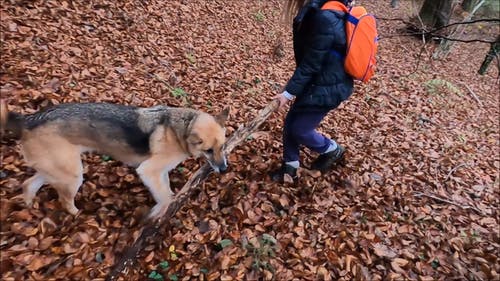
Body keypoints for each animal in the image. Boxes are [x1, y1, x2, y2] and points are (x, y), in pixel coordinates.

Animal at [0, 101, 229, 218]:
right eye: (209, 150)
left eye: (223, 146)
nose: (224, 169)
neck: (181, 130)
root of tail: (27, 121)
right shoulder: (149, 170)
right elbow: (165, 198)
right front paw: (155, 215)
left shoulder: (160, 174)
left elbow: (167, 193)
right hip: (72, 175)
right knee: (64, 200)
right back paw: (76, 213)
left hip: (56, 169)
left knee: (28, 184)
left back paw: (29, 206)